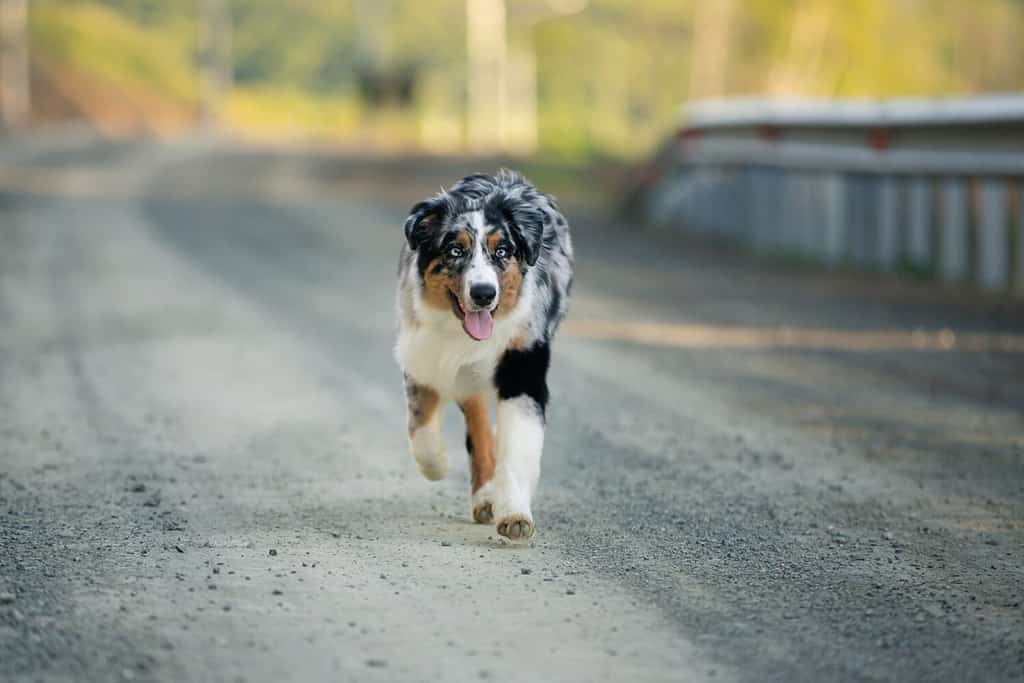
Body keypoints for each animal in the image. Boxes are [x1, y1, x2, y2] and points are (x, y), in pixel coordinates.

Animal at [393, 169, 573, 540]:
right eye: (454, 250)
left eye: (502, 251)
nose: (484, 293)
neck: (461, 335)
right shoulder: (420, 352)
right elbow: (421, 420)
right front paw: (436, 464)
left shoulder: (524, 365)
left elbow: (518, 446)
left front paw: (515, 515)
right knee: (477, 423)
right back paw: (484, 494)